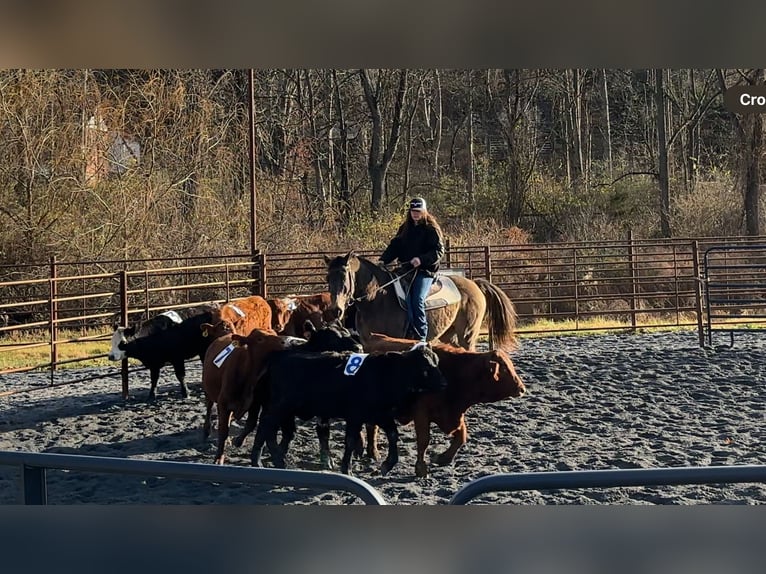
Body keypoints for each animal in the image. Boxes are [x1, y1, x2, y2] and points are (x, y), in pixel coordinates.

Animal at [201, 322, 364, 466]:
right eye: (332, 338)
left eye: (348, 333)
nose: (359, 348)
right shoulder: (278, 407)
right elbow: (281, 431)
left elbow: (321, 432)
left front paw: (327, 460)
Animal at [249, 346, 448, 476]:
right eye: (425, 367)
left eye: (437, 362)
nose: (443, 384)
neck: (386, 374)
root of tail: (275, 359)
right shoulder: (355, 416)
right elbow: (351, 441)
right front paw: (347, 469)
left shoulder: (381, 415)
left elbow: (393, 434)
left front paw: (387, 465)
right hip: (279, 407)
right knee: (264, 428)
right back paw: (257, 462)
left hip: (281, 411)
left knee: (270, 433)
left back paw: (278, 462)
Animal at [320, 253, 520, 354]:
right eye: (328, 277)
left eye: (344, 277)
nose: (335, 310)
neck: (376, 298)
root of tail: (474, 284)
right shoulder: (369, 344)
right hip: (449, 334)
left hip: (468, 334)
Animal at [362, 330, 528, 480]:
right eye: (504, 368)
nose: (522, 389)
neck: (454, 374)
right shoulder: (421, 413)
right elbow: (424, 440)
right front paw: (421, 468)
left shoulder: (452, 415)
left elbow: (462, 436)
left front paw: (442, 459)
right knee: (372, 427)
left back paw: (372, 453)